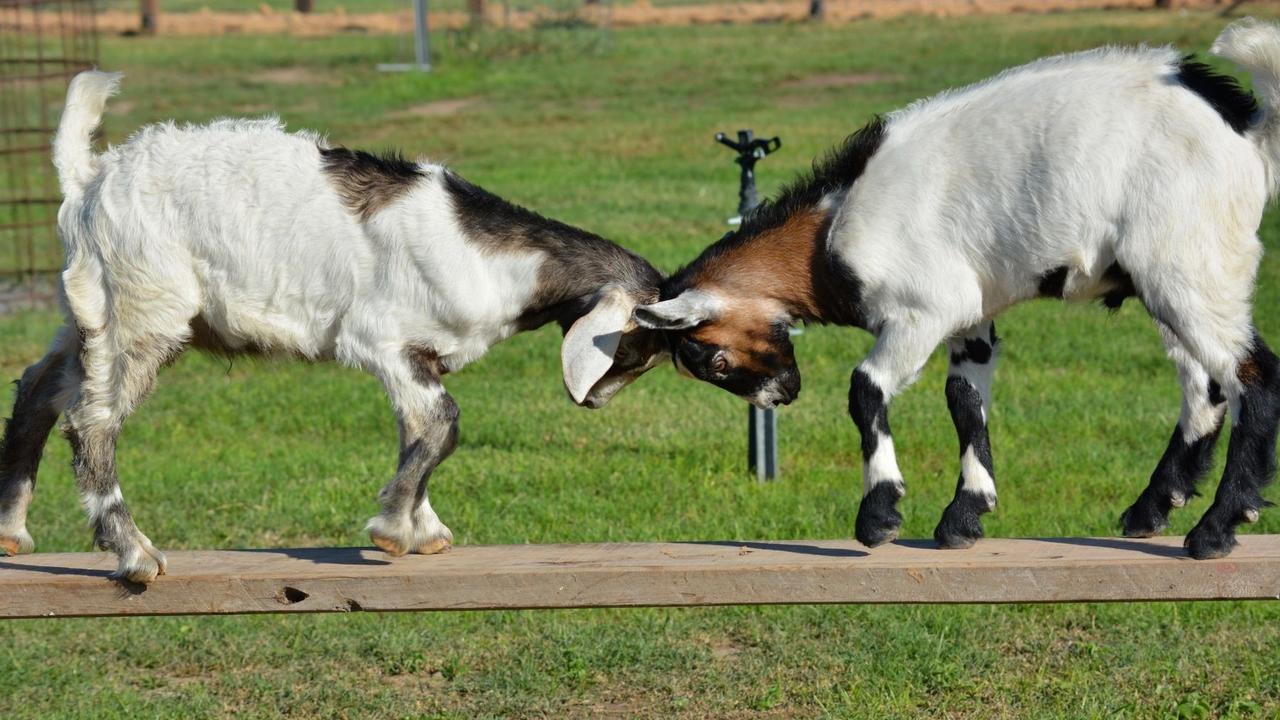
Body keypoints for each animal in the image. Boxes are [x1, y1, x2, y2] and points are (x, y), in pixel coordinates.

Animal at [0, 73, 675, 579]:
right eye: (637, 345)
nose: (597, 402)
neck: (490, 255)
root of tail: (89, 179)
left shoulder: (416, 358)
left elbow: (417, 430)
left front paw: (423, 527)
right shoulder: (381, 339)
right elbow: (443, 423)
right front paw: (393, 529)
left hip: (88, 311)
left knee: (38, 388)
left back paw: (12, 530)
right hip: (146, 309)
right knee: (91, 421)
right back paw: (135, 554)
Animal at [634, 15, 1280, 556]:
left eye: (713, 358)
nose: (779, 397)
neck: (828, 231)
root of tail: (1246, 132)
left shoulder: (923, 309)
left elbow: (865, 387)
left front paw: (879, 516)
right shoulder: (970, 318)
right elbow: (965, 402)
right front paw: (964, 517)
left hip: (1187, 267)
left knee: (1254, 377)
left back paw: (1215, 530)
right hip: (1180, 279)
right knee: (1206, 387)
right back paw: (1152, 509)